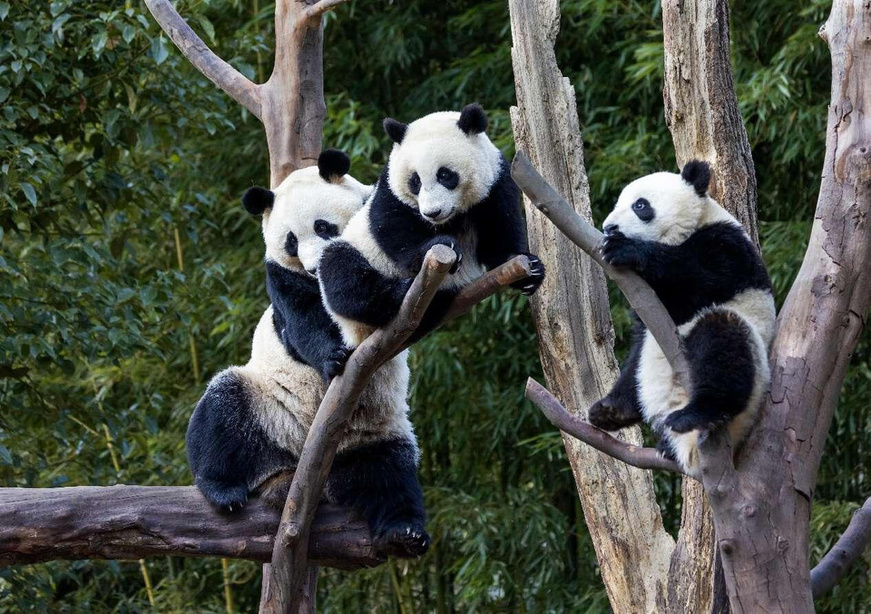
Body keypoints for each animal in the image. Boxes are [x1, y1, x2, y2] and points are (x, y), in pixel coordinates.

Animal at [186, 150, 430, 560]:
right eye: (290, 242)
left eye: (323, 226)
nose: (315, 267)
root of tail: (291, 469)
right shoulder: (281, 279)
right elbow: (302, 325)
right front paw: (333, 357)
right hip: (265, 406)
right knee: (223, 413)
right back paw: (222, 488)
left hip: (371, 433)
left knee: (388, 473)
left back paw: (404, 532)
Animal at [314, 103, 544, 348]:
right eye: (415, 181)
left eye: (445, 174)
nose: (432, 213)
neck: (450, 218)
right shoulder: (391, 188)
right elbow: (391, 227)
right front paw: (442, 245)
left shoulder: (496, 184)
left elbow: (498, 236)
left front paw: (530, 270)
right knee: (341, 271)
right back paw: (400, 292)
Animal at [584, 162, 776, 476]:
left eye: (640, 205)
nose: (609, 228)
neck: (693, 225)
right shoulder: (647, 312)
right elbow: (638, 340)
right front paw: (608, 409)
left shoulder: (729, 246)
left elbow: (700, 280)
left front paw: (625, 250)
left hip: (754, 367)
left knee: (723, 344)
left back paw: (696, 414)